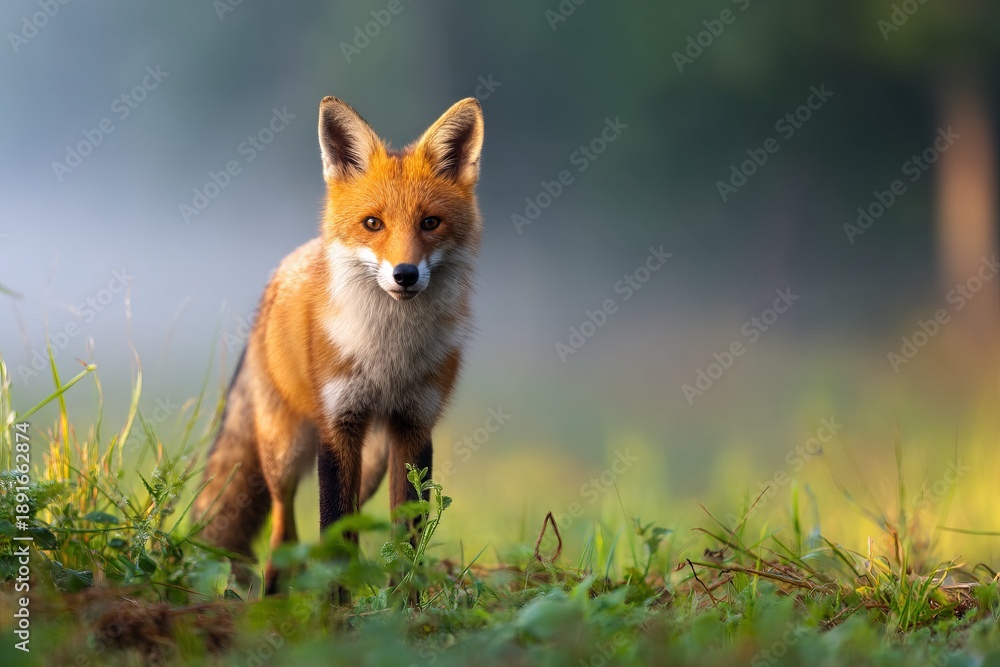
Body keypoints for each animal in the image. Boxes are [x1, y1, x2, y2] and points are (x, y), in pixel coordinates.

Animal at [191, 96, 485, 595]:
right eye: (373, 224)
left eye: (430, 223)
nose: (405, 274)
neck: (389, 354)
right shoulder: (338, 425)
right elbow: (332, 527)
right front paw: (336, 606)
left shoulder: (414, 426)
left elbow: (406, 536)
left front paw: (405, 601)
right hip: (287, 452)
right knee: (283, 530)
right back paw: (274, 595)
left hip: (373, 462)